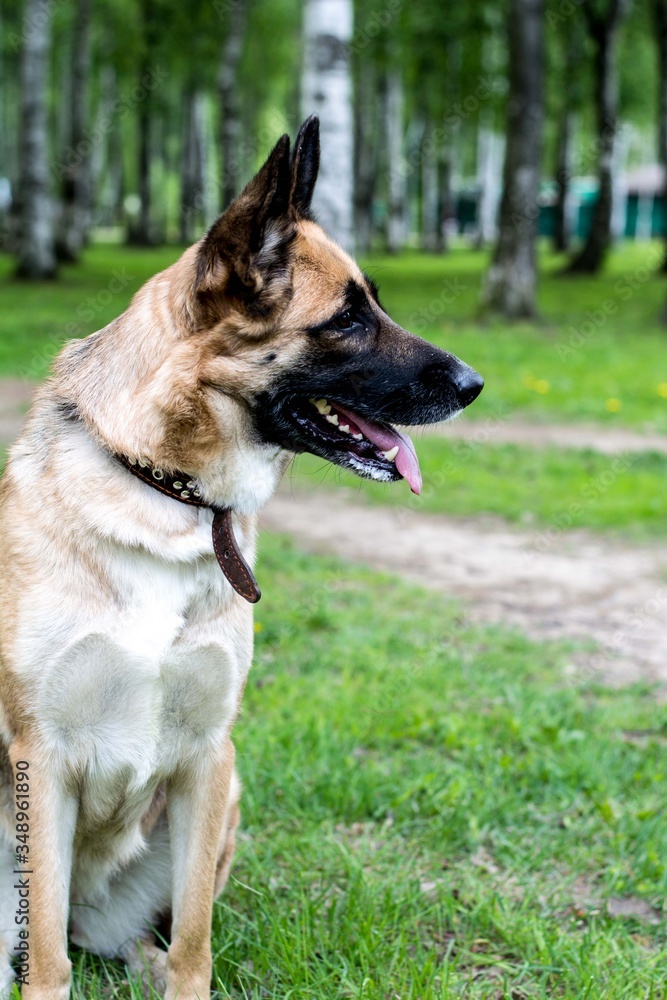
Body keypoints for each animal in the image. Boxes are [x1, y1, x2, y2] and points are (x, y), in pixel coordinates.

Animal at [0, 119, 482, 1000]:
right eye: (346, 320)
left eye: (373, 305)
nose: (473, 384)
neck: (162, 493)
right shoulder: (40, 761)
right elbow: (46, 962)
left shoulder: (206, 761)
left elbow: (194, 941)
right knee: (46, 934)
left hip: (224, 808)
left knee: (136, 945)